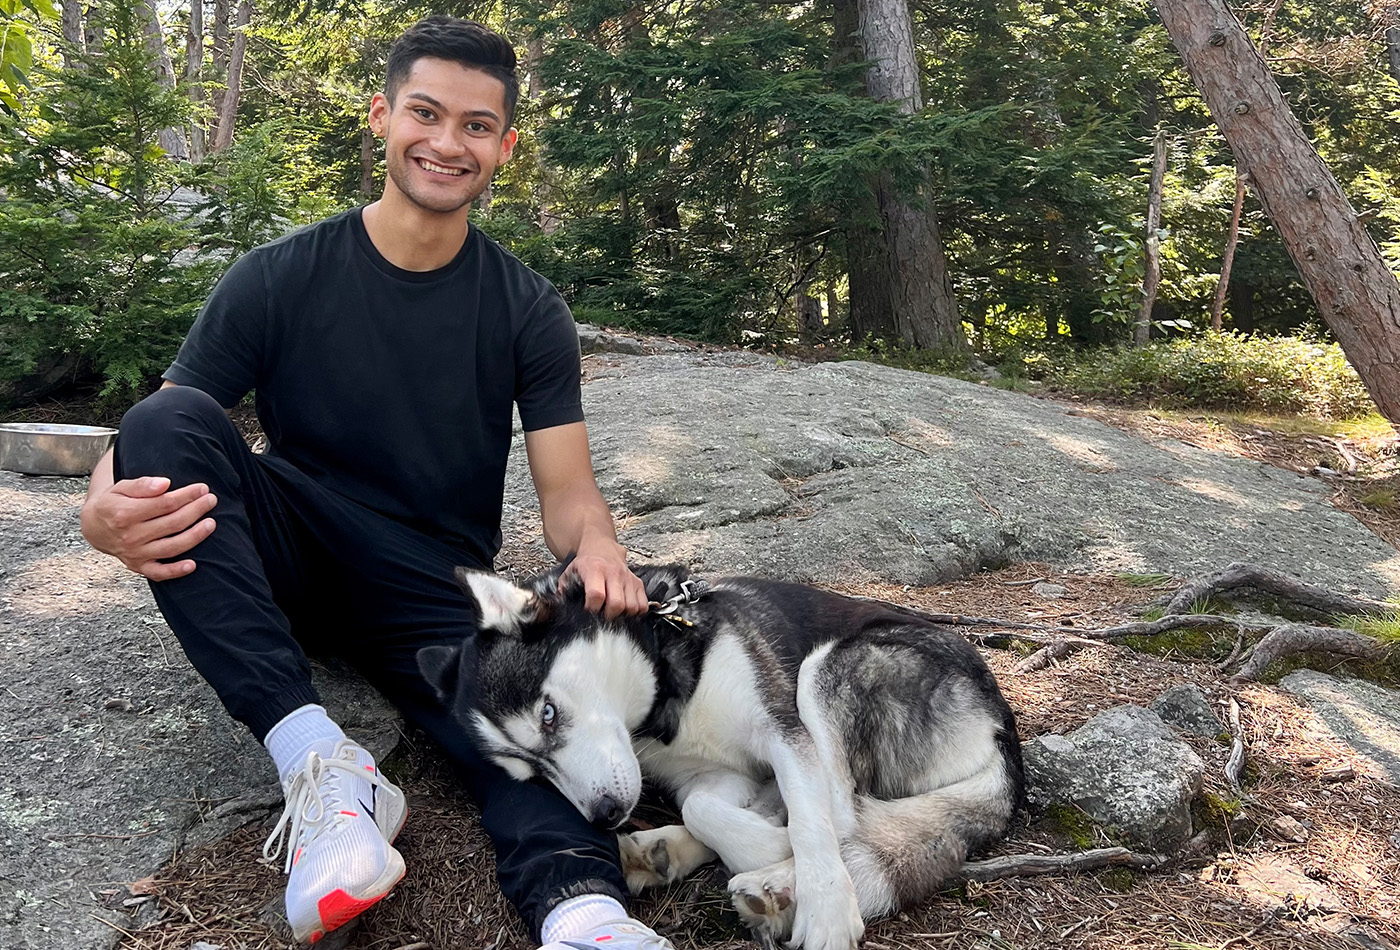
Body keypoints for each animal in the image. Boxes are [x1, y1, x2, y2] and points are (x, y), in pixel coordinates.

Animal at [420, 565, 1024, 950]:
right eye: (532, 775)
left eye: (547, 714)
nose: (605, 816)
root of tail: (1003, 725)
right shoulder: (707, 777)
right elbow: (703, 809)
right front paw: (749, 842)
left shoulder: (783, 730)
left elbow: (812, 823)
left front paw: (824, 902)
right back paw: (665, 853)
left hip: (824, 671)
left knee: (842, 812)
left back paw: (782, 884)